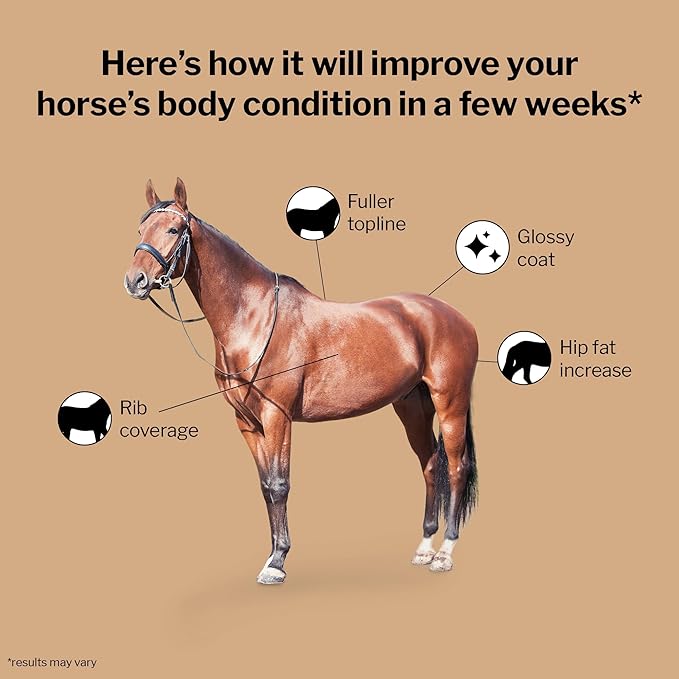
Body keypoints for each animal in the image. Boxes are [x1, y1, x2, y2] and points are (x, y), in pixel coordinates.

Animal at [124, 178, 479, 584]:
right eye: (140, 230)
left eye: (173, 229)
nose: (134, 281)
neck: (255, 315)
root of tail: (454, 316)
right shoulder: (247, 422)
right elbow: (266, 486)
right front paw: (273, 556)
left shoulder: (277, 415)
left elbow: (281, 485)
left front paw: (277, 563)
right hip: (412, 405)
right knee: (431, 464)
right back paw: (423, 548)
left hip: (450, 402)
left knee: (456, 467)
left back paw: (444, 554)